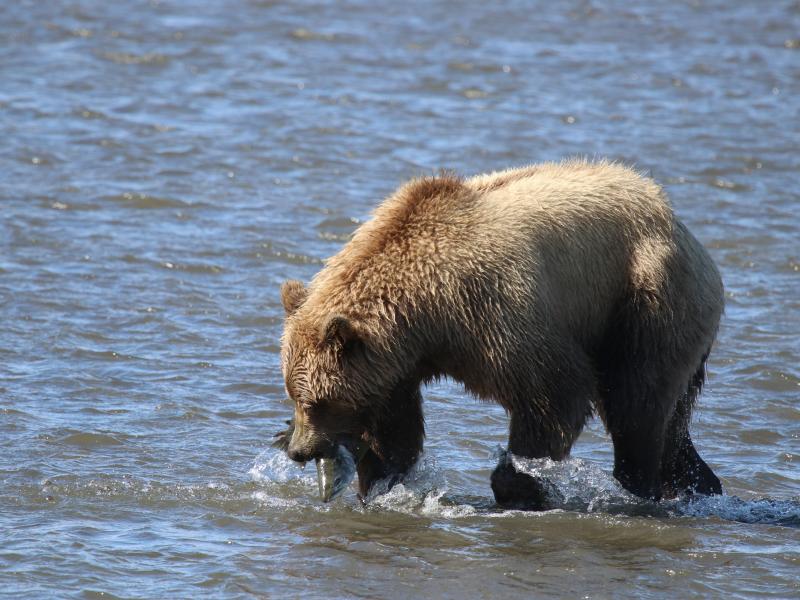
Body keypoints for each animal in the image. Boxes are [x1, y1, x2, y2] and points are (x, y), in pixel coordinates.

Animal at [275, 159, 723, 508]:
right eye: (293, 395)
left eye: (316, 401)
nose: (298, 450)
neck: (425, 315)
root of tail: (681, 227)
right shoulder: (397, 364)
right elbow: (394, 423)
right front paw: (382, 476)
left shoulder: (494, 313)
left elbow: (553, 393)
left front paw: (520, 485)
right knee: (672, 418)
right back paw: (697, 482)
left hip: (646, 299)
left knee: (636, 402)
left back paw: (637, 487)